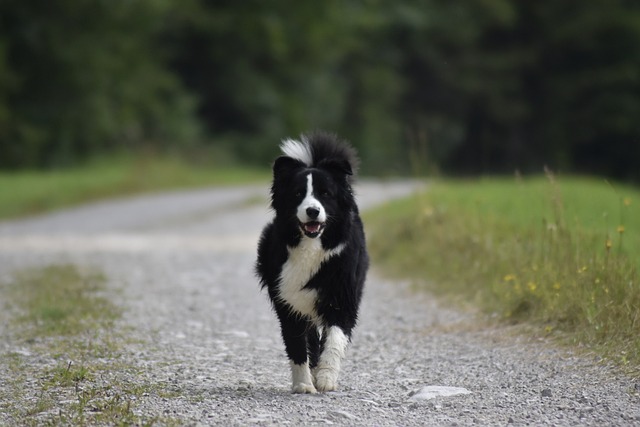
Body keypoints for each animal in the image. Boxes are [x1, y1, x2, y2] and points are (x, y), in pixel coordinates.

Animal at [256, 130, 370, 394]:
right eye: (298, 193)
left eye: (325, 194)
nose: (312, 211)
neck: (311, 246)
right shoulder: (287, 300)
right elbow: (296, 344)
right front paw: (303, 385)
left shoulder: (342, 297)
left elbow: (335, 340)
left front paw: (326, 378)